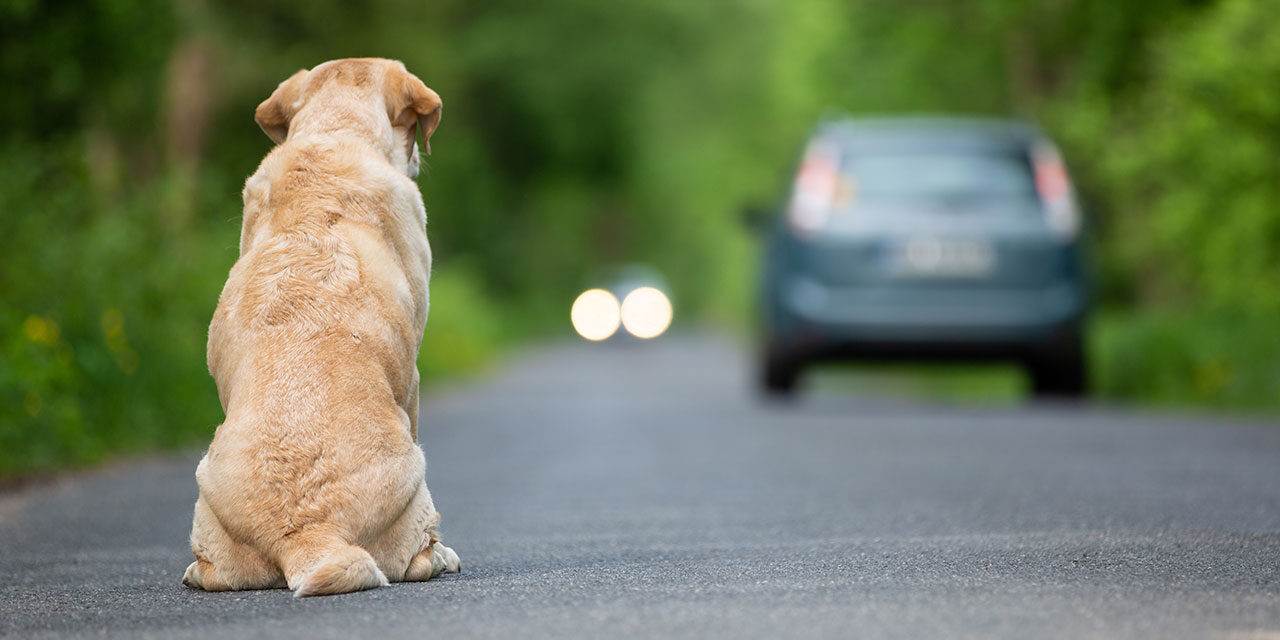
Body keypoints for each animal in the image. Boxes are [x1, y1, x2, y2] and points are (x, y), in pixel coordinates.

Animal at [180, 57, 460, 596]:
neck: (334, 133)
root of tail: (309, 532)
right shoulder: (412, 377)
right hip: (416, 479)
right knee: (418, 556)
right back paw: (442, 557)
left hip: (207, 496)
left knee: (211, 571)